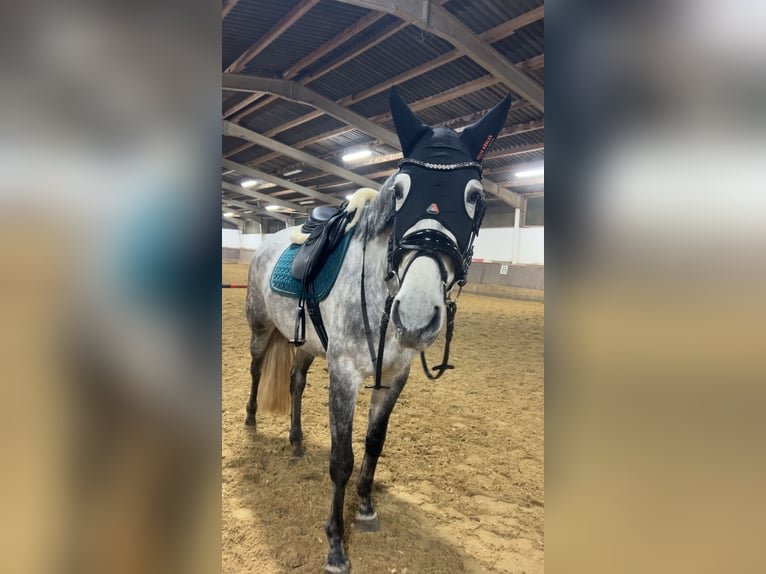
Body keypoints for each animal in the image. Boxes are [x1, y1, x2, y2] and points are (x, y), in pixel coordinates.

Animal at [244, 86, 511, 573]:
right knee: (256, 370)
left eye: (475, 198)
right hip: (259, 327)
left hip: (305, 344)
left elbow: (373, 443)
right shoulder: (345, 374)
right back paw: (252, 421)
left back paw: (295, 443)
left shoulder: (395, 375)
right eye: (401, 191)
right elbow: (342, 460)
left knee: (294, 383)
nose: (417, 313)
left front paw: (366, 509)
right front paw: (335, 545)